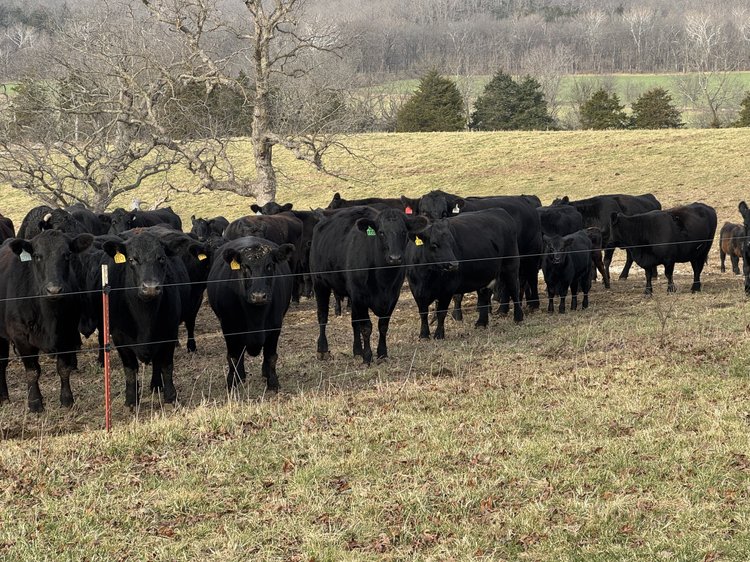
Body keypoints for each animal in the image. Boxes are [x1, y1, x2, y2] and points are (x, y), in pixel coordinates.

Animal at [0, 230, 94, 412]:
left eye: (67, 255)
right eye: (37, 256)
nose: (54, 289)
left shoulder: (68, 332)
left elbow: (63, 369)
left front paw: (67, 400)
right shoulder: (21, 337)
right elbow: (32, 372)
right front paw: (35, 403)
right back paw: (3, 397)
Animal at [100, 231, 194, 407]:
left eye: (161, 258)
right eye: (132, 259)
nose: (150, 287)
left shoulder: (170, 333)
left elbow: (166, 366)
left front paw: (171, 396)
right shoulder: (119, 337)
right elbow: (130, 370)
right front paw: (131, 400)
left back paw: (156, 385)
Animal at [207, 237, 295, 391]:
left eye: (269, 265)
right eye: (244, 266)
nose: (259, 296)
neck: (255, 317)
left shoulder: (275, 326)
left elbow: (271, 356)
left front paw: (273, 383)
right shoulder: (228, 327)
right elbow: (233, 357)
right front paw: (232, 382)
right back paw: (241, 376)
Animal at [311, 206, 428, 364]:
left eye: (404, 232)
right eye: (381, 232)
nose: (395, 258)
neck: (384, 280)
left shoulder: (392, 296)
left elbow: (382, 326)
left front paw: (382, 353)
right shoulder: (360, 296)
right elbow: (366, 327)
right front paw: (367, 356)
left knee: (354, 322)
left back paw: (357, 351)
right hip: (320, 283)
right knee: (322, 316)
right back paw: (322, 350)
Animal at [407, 209, 523, 340]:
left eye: (451, 242)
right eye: (434, 244)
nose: (454, 264)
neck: (427, 276)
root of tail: (499, 211)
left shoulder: (447, 290)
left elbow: (441, 312)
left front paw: (439, 334)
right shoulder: (416, 290)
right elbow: (423, 312)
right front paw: (424, 335)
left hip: (511, 267)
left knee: (514, 290)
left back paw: (518, 317)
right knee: (484, 295)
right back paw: (481, 322)